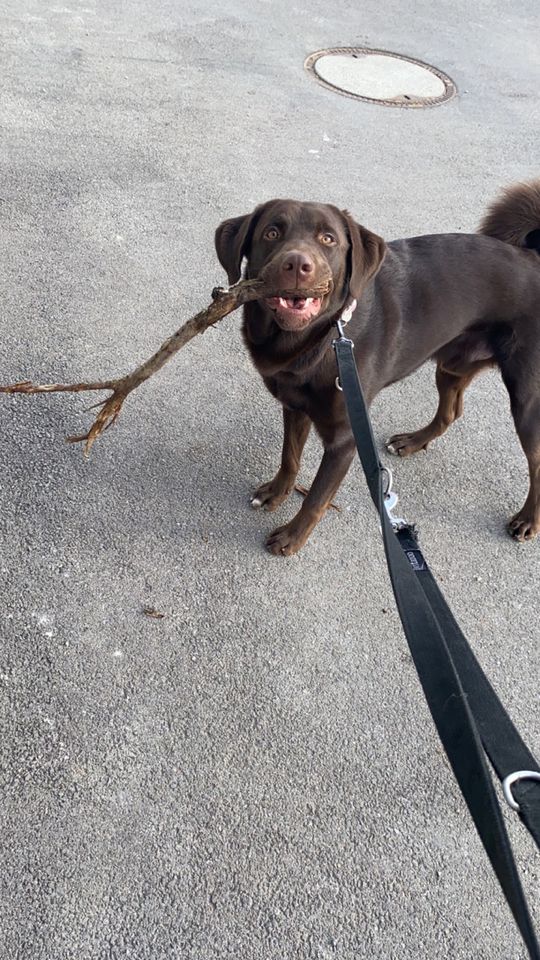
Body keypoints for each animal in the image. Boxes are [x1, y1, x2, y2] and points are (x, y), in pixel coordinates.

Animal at [214, 182, 540, 556]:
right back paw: (413, 441)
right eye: (271, 232)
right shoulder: (295, 407)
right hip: (453, 364)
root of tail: (533, 259)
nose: (297, 264)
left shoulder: (344, 438)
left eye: (328, 239)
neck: (321, 339)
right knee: (450, 412)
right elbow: (290, 457)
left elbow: (317, 497)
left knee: (537, 461)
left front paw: (292, 537)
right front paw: (277, 492)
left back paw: (528, 520)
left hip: (527, 399)